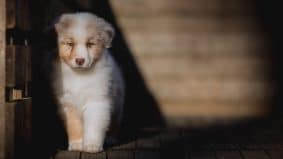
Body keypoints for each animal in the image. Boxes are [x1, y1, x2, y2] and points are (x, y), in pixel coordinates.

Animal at [51, 12, 125, 153]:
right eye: (70, 44)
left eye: (90, 44)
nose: (80, 60)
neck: (80, 75)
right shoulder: (68, 103)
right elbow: (74, 125)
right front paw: (76, 144)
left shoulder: (97, 100)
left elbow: (94, 124)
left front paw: (92, 146)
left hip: (117, 102)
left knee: (114, 121)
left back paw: (111, 139)